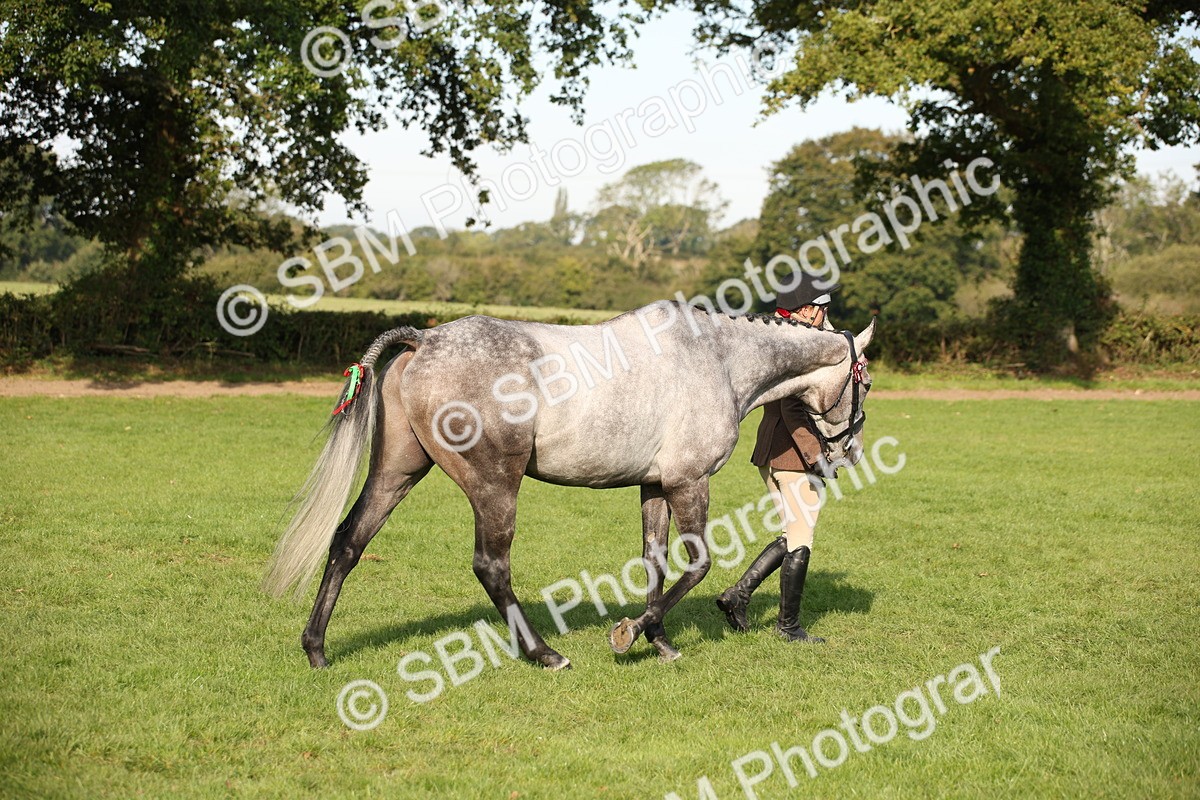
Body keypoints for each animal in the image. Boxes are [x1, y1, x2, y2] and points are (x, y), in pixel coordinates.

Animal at [263, 300, 875, 670]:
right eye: (865, 383)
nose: (847, 455)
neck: (719, 360)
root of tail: (424, 341)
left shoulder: (655, 487)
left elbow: (655, 561)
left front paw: (660, 641)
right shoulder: (689, 482)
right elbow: (697, 564)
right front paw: (630, 634)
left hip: (397, 472)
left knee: (349, 542)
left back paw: (316, 650)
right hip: (495, 486)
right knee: (491, 566)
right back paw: (544, 653)